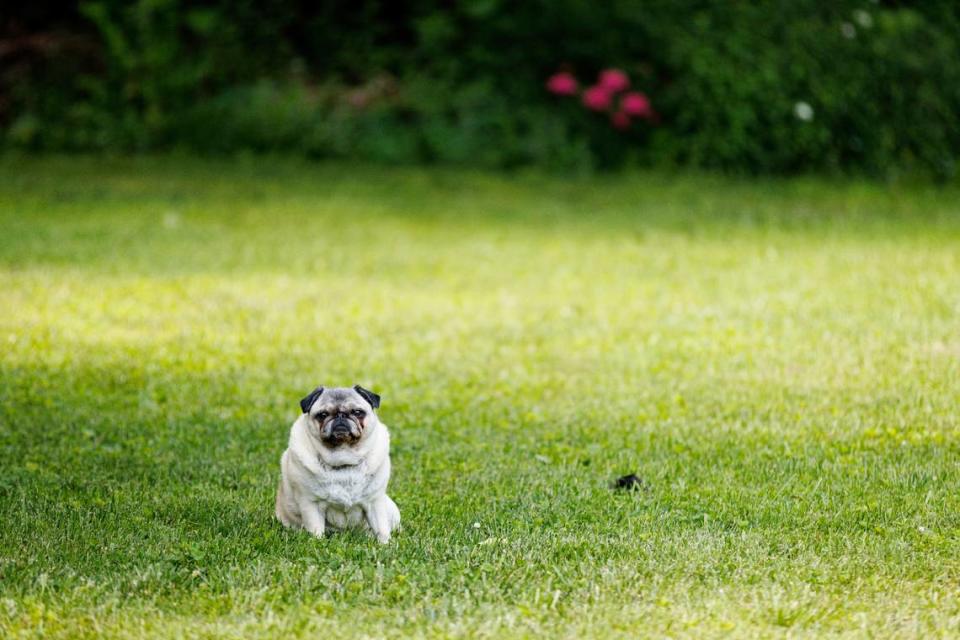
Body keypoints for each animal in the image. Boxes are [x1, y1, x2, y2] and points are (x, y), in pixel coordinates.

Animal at [274, 388, 402, 544]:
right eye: (323, 415)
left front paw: (385, 544)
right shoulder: (311, 504)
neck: (343, 456)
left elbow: (382, 528)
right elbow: (315, 529)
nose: (341, 416)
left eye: (357, 412)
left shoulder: (375, 502)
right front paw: (317, 543)